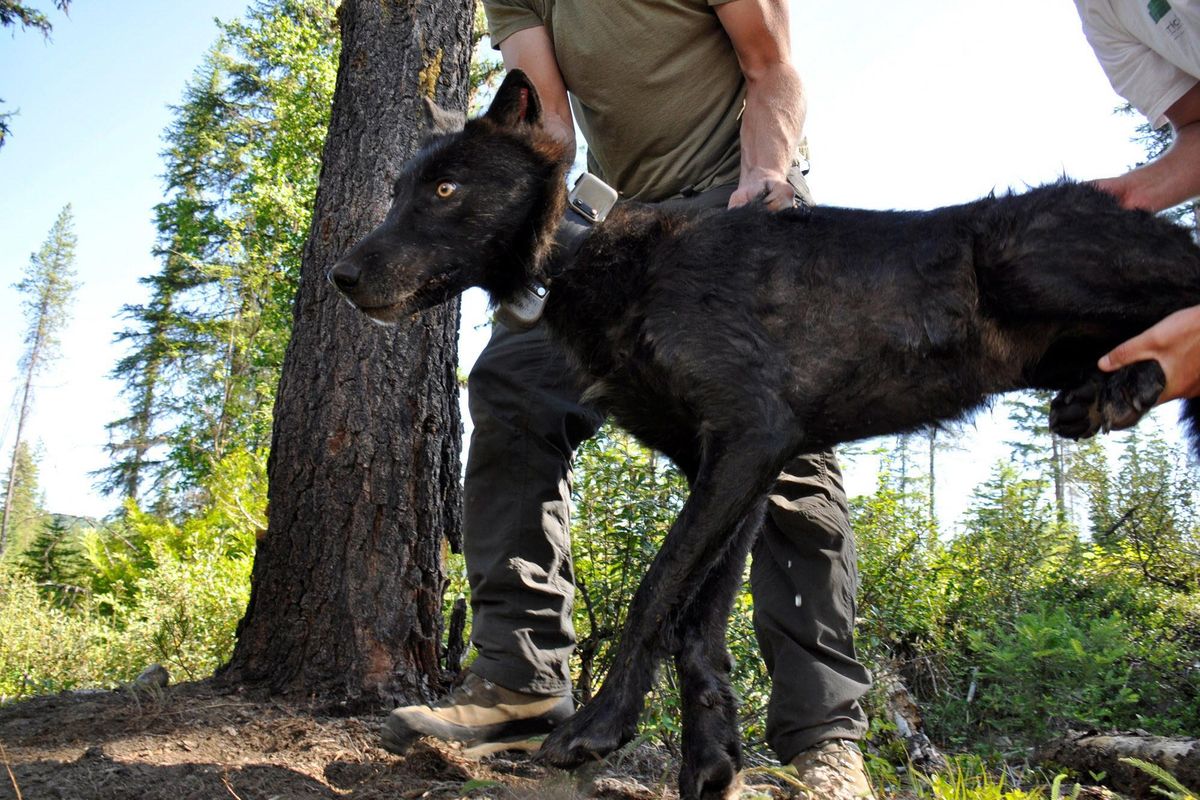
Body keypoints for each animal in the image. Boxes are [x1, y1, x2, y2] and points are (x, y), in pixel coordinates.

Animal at [333, 68, 1200, 800]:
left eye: (446, 188)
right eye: (399, 190)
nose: (341, 276)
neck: (590, 257)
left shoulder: (752, 437)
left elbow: (655, 592)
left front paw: (598, 728)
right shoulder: (738, 471)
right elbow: (698, 625)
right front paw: (710, 761)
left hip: (1019, 256)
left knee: (1185, 302)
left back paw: (1129, 382)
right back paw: (1110, 388)